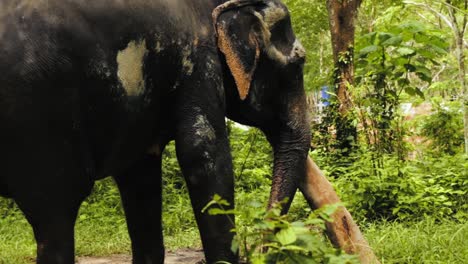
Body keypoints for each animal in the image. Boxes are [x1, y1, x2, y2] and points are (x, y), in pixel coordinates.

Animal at [0, 0, 310, 264]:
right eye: (299, 64)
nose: (264, 251)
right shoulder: (199, 59)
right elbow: (204, 156)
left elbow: (140, 179)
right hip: (39, 116)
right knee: (56, 216)